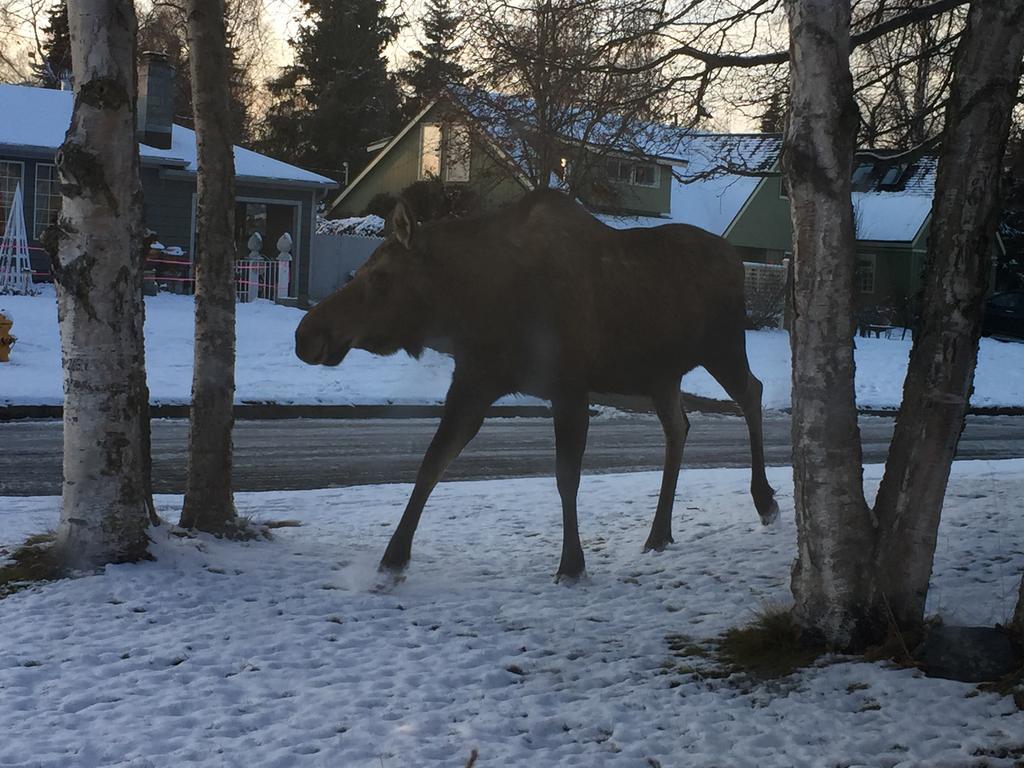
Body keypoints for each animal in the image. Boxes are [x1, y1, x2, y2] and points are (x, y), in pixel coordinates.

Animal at [296, 189, 774, 581]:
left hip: (723, 345)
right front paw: (393, 557)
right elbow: (432, 462)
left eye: (380, 277)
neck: (468, 309)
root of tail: (736, 258)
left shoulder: (568, 387)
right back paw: (659, 533)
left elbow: (566, 477)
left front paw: (572, 565)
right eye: (361, 269)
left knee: (753, 391)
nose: (307, 334)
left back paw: (764, 500)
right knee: (679, 426)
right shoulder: (474, 381)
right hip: (662, 374)